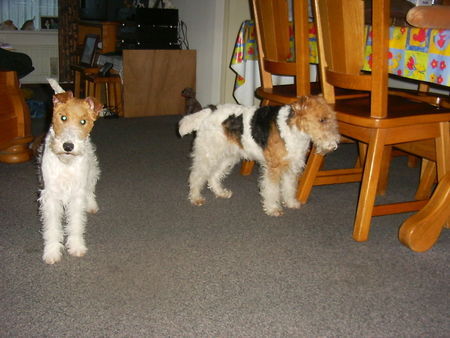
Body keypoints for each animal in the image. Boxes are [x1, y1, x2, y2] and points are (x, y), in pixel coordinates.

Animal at [38, 79, 103, 264]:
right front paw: (52, 252)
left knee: (90, 189)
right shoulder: (51, 195)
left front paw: (76, 247)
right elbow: (52, 227)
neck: (66, 163)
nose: (68, 146)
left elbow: (75, 224)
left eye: (83, 121)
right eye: (63, 117)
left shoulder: (76, 194)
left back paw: (92, 205)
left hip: (91, 169)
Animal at [178, 95, 340, 217]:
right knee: (196, 176)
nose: (334, 145)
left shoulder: (290, 166)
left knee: (213, 176)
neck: (293, 130)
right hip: (208, 153)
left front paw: (291, 203)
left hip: (227, 156)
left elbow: (289, 187)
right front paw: (273, 209)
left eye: (331, 118)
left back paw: (221, 192)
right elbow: (272, 190)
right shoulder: (274, 168)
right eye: (322, 120)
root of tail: (211, 110)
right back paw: (196, 198)